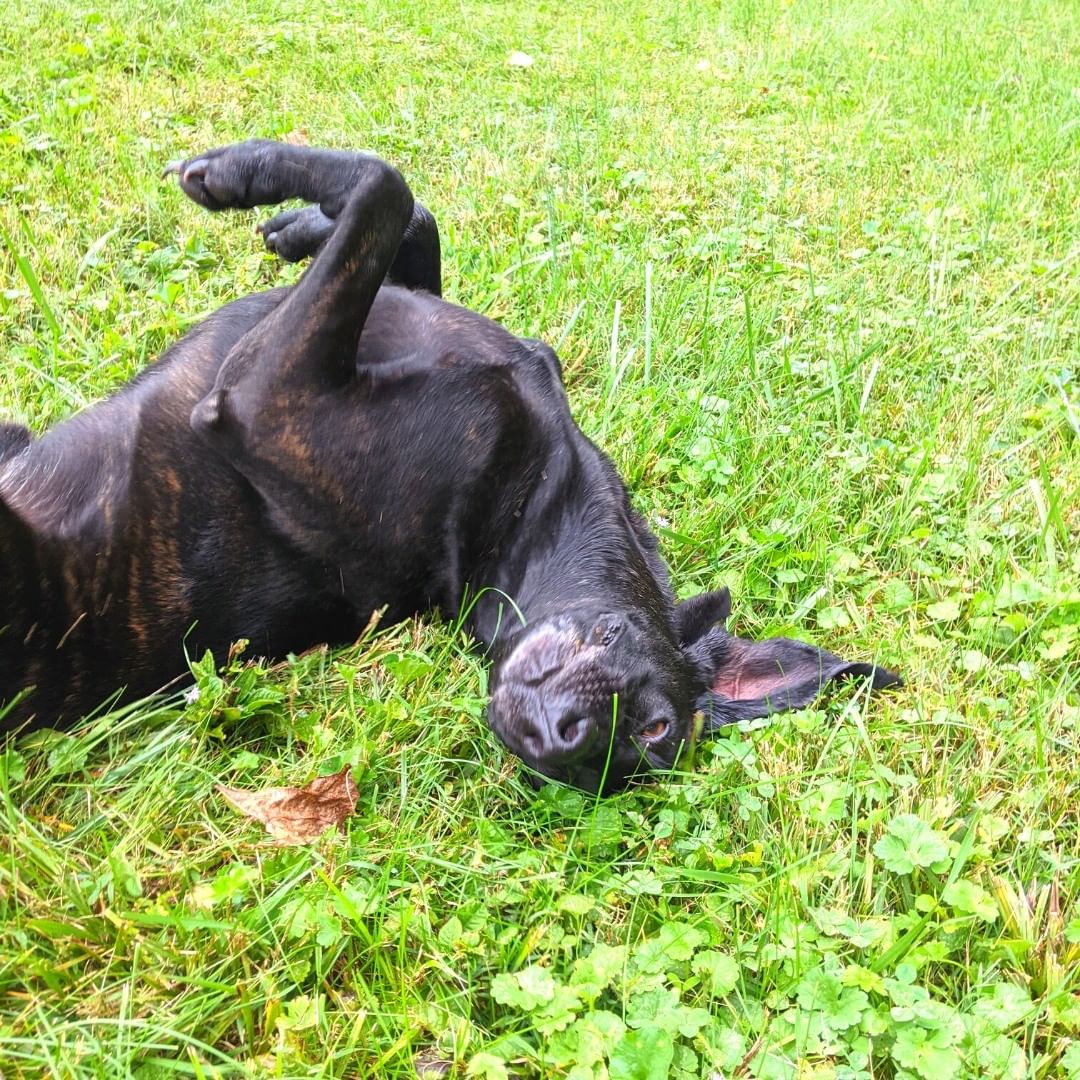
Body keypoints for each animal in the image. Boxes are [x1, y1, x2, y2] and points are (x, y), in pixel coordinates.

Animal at [0, 139, 894, 790]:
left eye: (650, 736)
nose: (559, 744)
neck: (531, 502)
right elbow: (412, 221)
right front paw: (297, 221)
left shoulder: (264, 400)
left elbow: (384, 186)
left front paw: (240, 174)